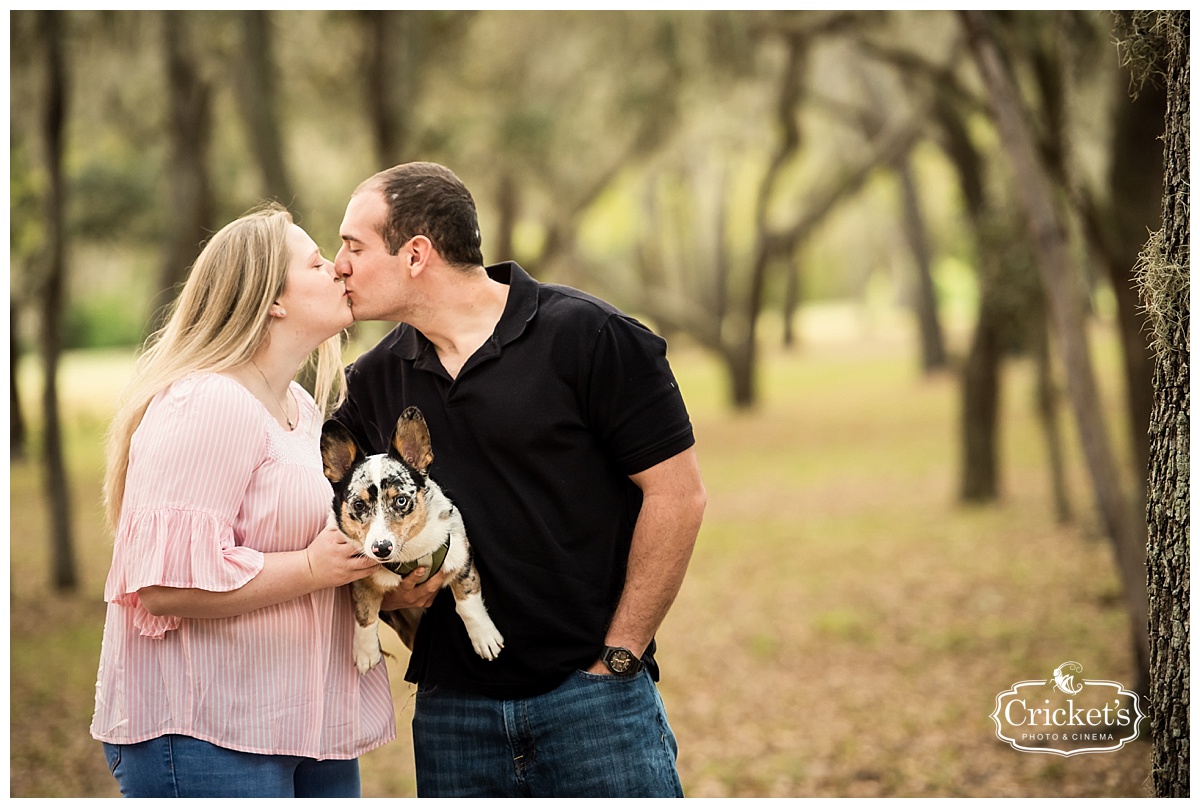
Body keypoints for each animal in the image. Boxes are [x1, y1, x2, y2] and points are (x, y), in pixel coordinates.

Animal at [319, 405, 501, 672]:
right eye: (359, 505)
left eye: (401, 500)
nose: (381, 549)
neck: (410, 555)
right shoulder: (362, 582)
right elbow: (364, 616)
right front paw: (365, 653)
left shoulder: (461, 556)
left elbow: (467, 602)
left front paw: (484, 638)